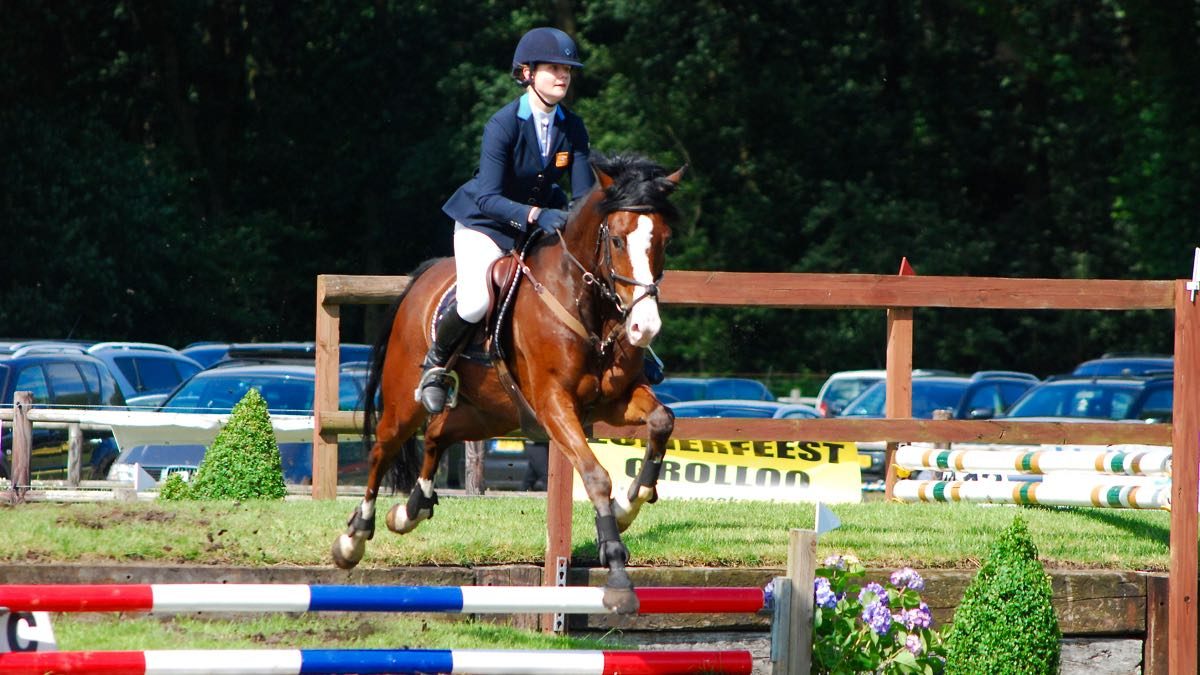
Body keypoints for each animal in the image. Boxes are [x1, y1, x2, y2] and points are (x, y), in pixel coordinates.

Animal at [333, 153, 686, 614]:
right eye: (617, 241)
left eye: (663, 240)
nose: (645, 327)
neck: (586, 305)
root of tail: (422, 279)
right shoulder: (554, 404)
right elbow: (595, 476)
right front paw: (617, 573)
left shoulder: (614, 400)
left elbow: (662, 421)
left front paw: (630, 503)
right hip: (406, 402)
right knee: (384, 447)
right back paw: (353, 538)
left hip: (492, 414)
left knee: (438, 433)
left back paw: (411, 510)